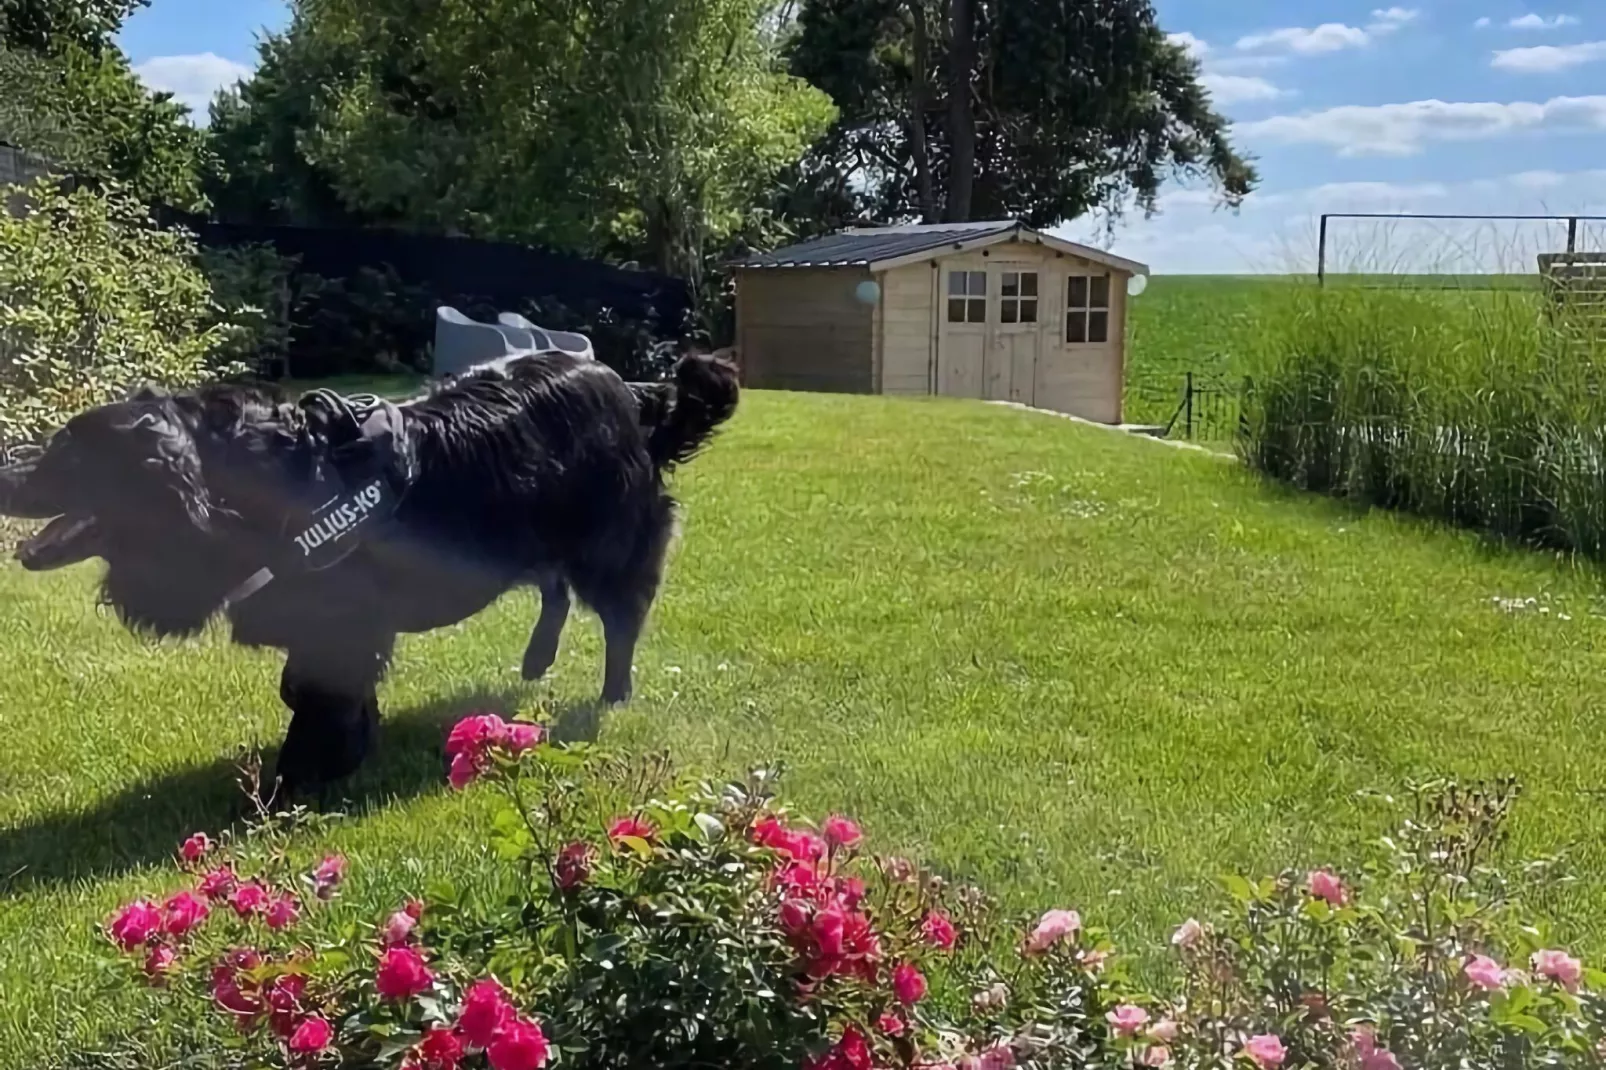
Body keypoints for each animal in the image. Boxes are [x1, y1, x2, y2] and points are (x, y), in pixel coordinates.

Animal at [0, 350, 735, 790]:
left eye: (67, 449)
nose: (7, 465)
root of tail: (630, 389)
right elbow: (311, 688)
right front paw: (355, 739)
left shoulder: (344, 621)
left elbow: (317, 693)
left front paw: (307, 770)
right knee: (552, 588)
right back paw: (535, 660)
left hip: (607, 537)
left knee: (620, 614)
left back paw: (614, 692)